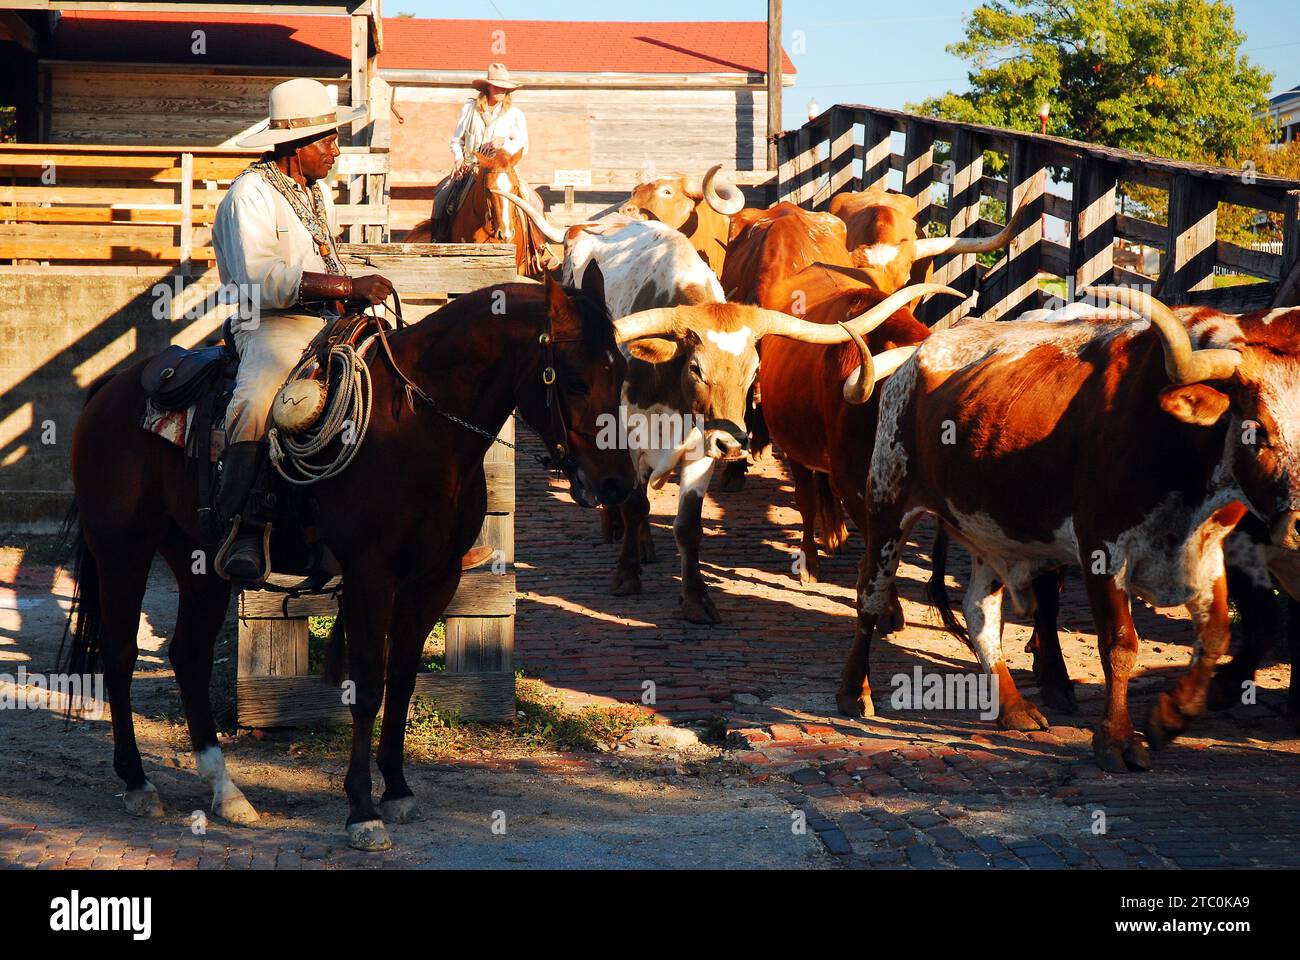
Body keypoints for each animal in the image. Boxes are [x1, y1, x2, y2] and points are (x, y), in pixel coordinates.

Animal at [63, 277, 642, 842]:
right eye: (574, 381)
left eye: (622, 375)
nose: (618, 484)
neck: (417, 427)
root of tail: (110, 388)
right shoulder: (370, 578)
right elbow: (366, 686)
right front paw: (362, 809)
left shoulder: (434, 580)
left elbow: (401, 682)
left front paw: (398, 790)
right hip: (122, 551)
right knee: (119, 654)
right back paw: (137, 782)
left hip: (198, 562)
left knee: (189, 656)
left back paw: (227, 794)